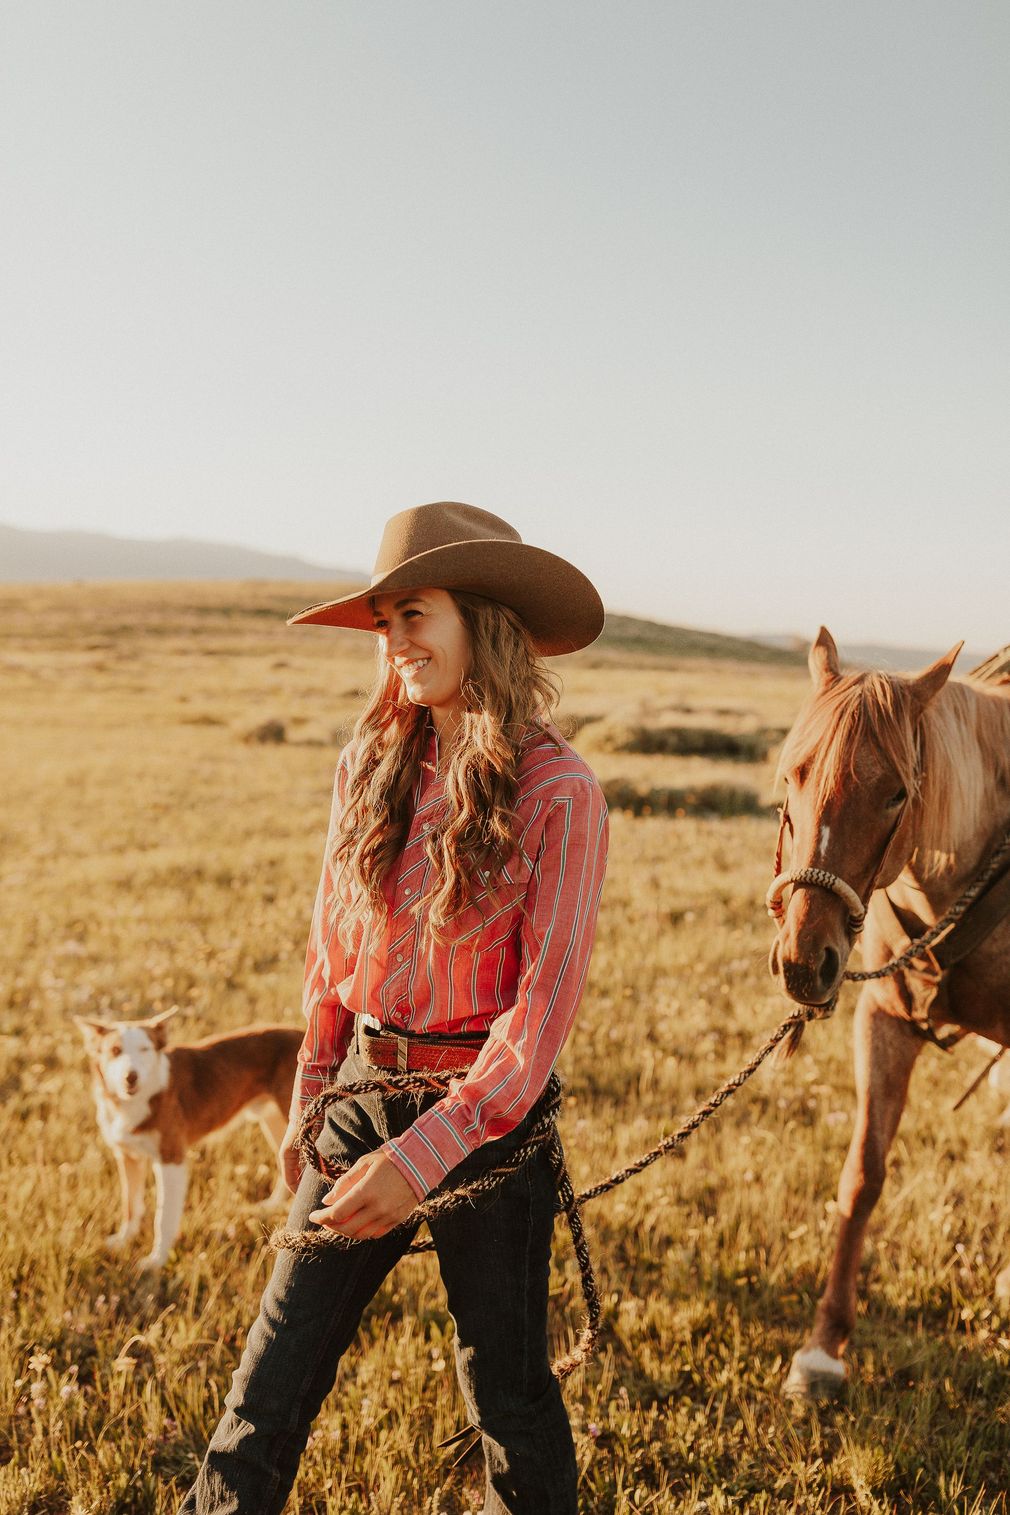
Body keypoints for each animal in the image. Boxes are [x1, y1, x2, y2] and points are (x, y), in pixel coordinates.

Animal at [74, 1012, 304, 1272]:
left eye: (144, 1049)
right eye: (115, 1050)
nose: (130, 1077)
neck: (136, 1101)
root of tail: (302, 1031)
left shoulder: (171, 1159)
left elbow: (163, 1217)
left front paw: (156, 1261)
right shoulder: (127, 1156)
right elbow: (130, 1205)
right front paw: (124, 1239)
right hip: (275, 1122)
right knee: (284, 1164)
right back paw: (271, 1205)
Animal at [766, 624, 1010, 1393]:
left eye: (897, 792)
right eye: (793, 776)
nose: (803, 961)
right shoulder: (884, 1022)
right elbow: (863, 1176)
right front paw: (823, 1348)